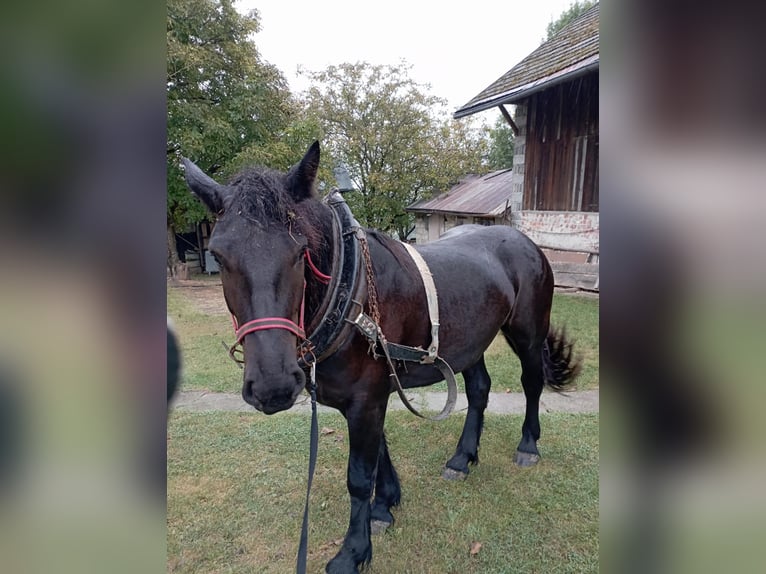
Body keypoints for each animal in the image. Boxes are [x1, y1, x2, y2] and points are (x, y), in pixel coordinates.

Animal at [184, 142, 584, 572]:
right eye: (218, 255)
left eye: (300, 251)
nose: (273, 385)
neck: (351, 289)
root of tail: (524, 240)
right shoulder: (371, 395)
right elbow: (379, 454)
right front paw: (385, 506)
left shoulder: (366, 399)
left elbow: (360, 475)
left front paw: (353, 550)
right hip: (468, 340)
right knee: (479, 389)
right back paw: (462, 458)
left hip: (528, 332)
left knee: (531, 383)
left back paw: (528, 446)